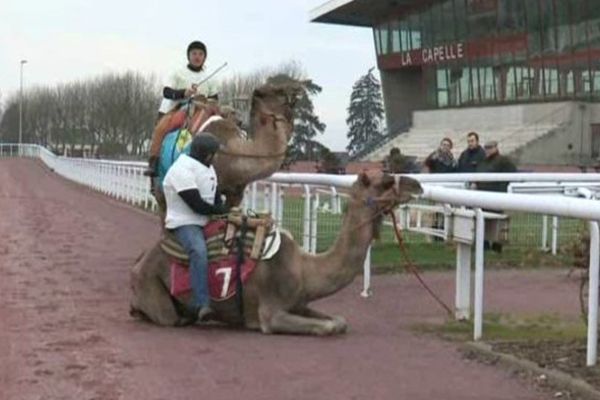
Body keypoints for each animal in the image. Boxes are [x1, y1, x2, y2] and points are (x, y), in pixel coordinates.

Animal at [129, 172, 424, 334]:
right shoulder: (271, 312)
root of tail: (139, 261)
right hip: (154, 289)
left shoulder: (299, 303)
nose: (418, 185)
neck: (305, 268)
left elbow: (339, 321)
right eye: (385, 181)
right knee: (165, 316)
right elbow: (329, 326)